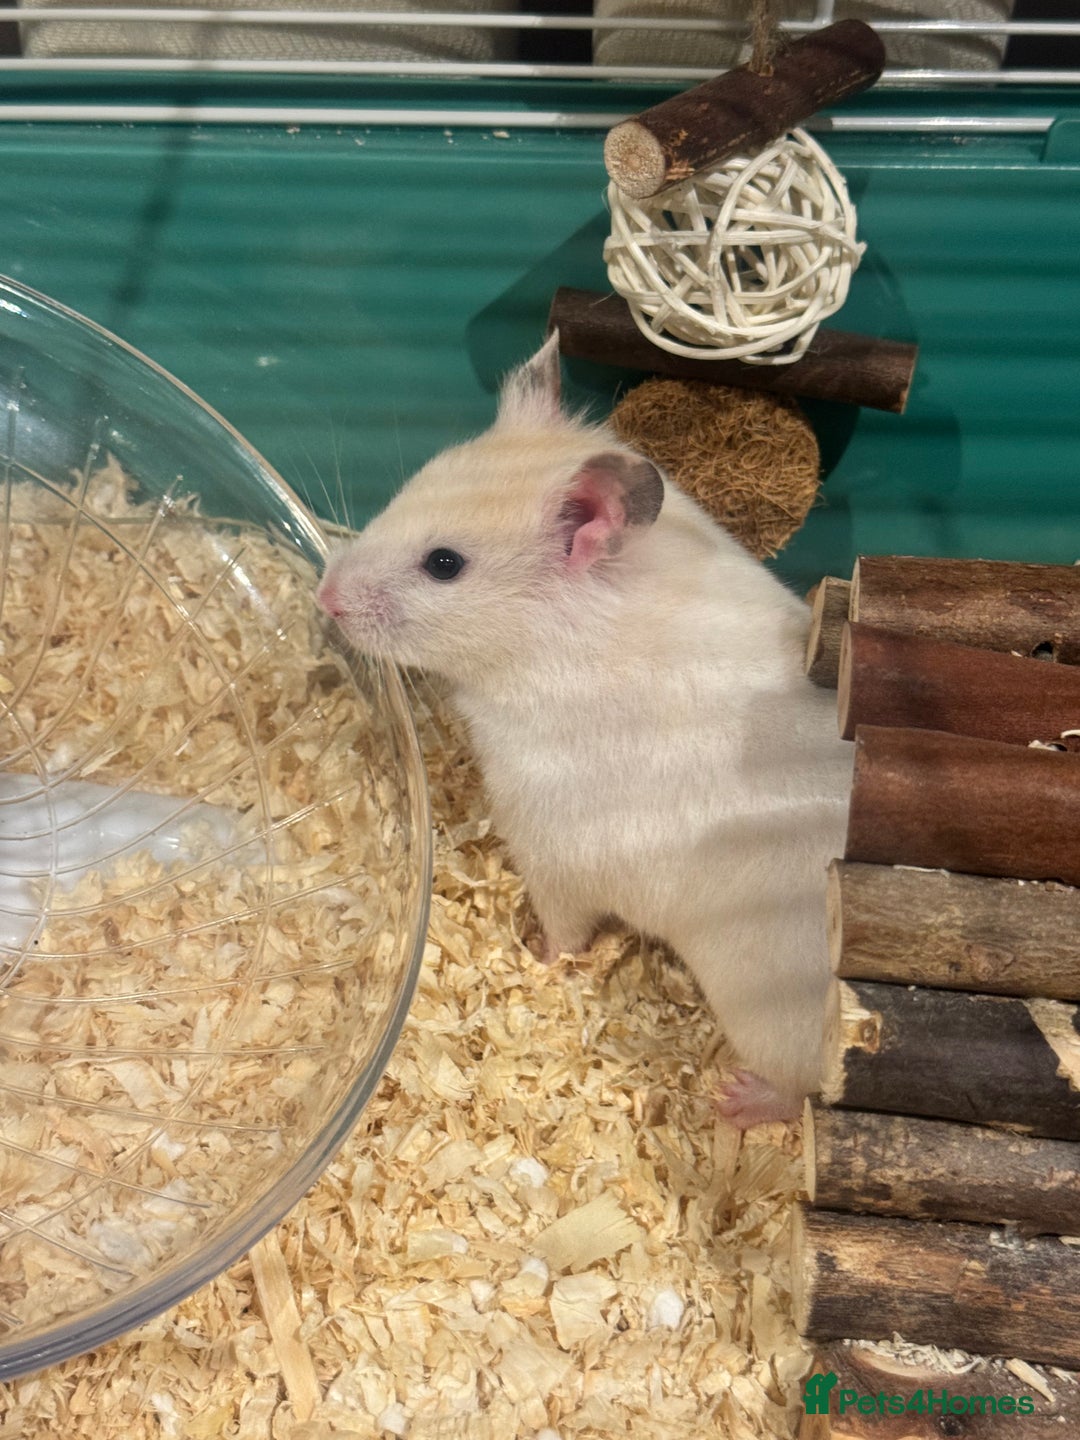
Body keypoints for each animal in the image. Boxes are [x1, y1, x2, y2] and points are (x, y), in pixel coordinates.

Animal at [316, 334, 852, 1127]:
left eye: (444, 564)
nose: (325, 595)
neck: (546, 648)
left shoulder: (552, 851)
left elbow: (565, 931)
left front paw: (536, 957)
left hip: (768, 1017)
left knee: (801, 1090)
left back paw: (733, 1103)